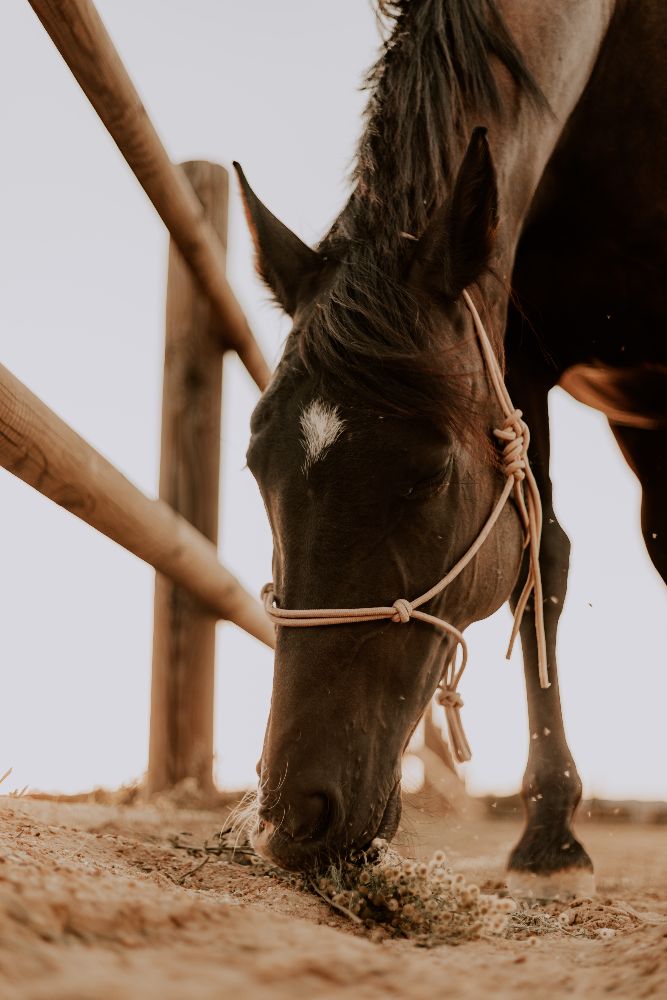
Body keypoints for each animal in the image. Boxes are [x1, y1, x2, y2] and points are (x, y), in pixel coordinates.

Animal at [235, 0, 667, 898]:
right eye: (256, 466)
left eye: (429, 473)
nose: (291, 817)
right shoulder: (519, 356)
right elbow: (541, 564)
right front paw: (548, 834)